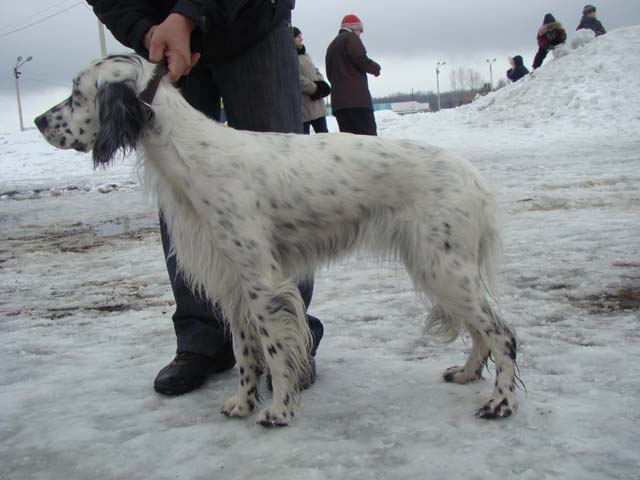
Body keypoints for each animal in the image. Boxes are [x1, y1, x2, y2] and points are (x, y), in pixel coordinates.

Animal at [35, 54, 520, 426]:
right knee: (482, 330)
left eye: (76, 94)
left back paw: (500, 403)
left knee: (503, 332)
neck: (188, 152)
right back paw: (467, 374)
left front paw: (279, 411)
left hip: (444, 267)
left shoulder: (263, 283)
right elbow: (245, 353)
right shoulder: (232, 284)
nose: (39, 120)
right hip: (441, 268)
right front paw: (242, 404)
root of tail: (470, 174)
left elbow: (274, 349)